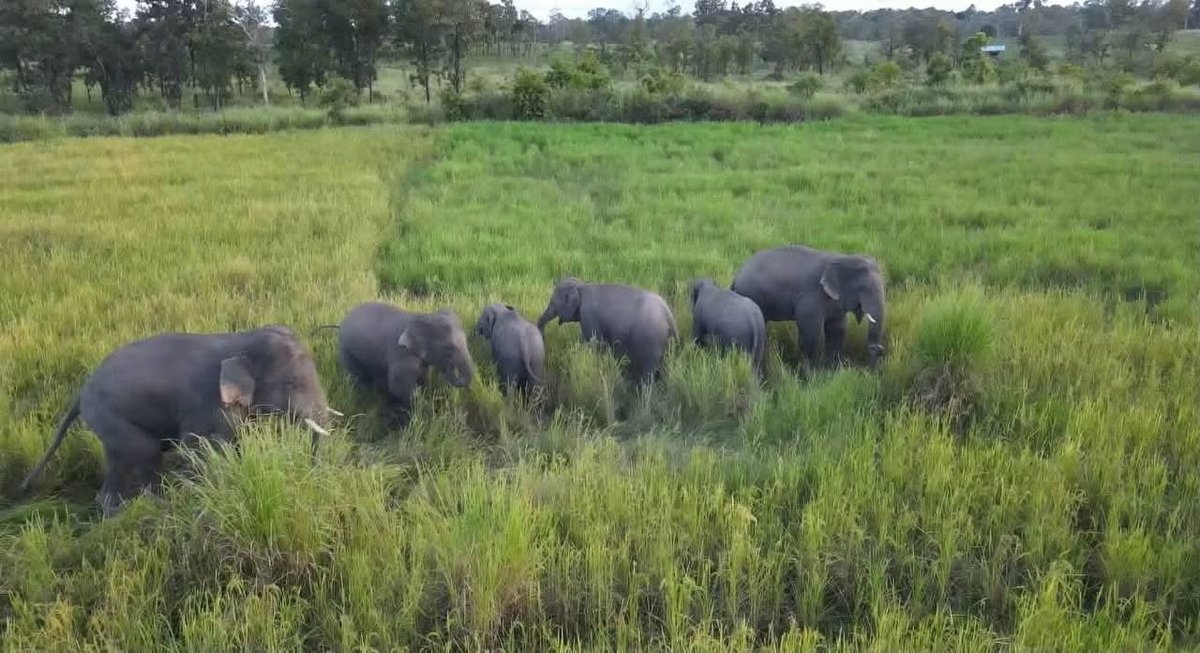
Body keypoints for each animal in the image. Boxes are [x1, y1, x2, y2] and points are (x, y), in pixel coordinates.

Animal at [19, 325, 336, 517]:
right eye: (292, 384)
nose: (310, 479)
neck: (242, 339)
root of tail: (81, 391)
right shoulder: (206, 404)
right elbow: (199, 450)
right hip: (108, 414)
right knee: (144, 452)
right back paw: (147, 509)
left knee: (120, 459)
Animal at [333, 301, 474, 428]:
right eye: (448, 348)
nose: (447, 369)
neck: (421, 317)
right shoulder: (400, 354)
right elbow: (399, 387)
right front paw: (432, 413)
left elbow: (422, 378)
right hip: (346, 349)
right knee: (357, 377)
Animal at [537, 277, 677, 383]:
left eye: (553, 303)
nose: (543, 337)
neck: (582, 285)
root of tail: (668, 314)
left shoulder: (589, 316)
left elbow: (594, 343)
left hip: (652, 340)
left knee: (648, 370)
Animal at [731, 244, 887, 368]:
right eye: (865, 289)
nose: (878, 348)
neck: (843, 258)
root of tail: (735, 278)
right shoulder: (811, 298)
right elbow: (811, 334)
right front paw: (814, 374)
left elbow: (838, 329)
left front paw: (834, 369)